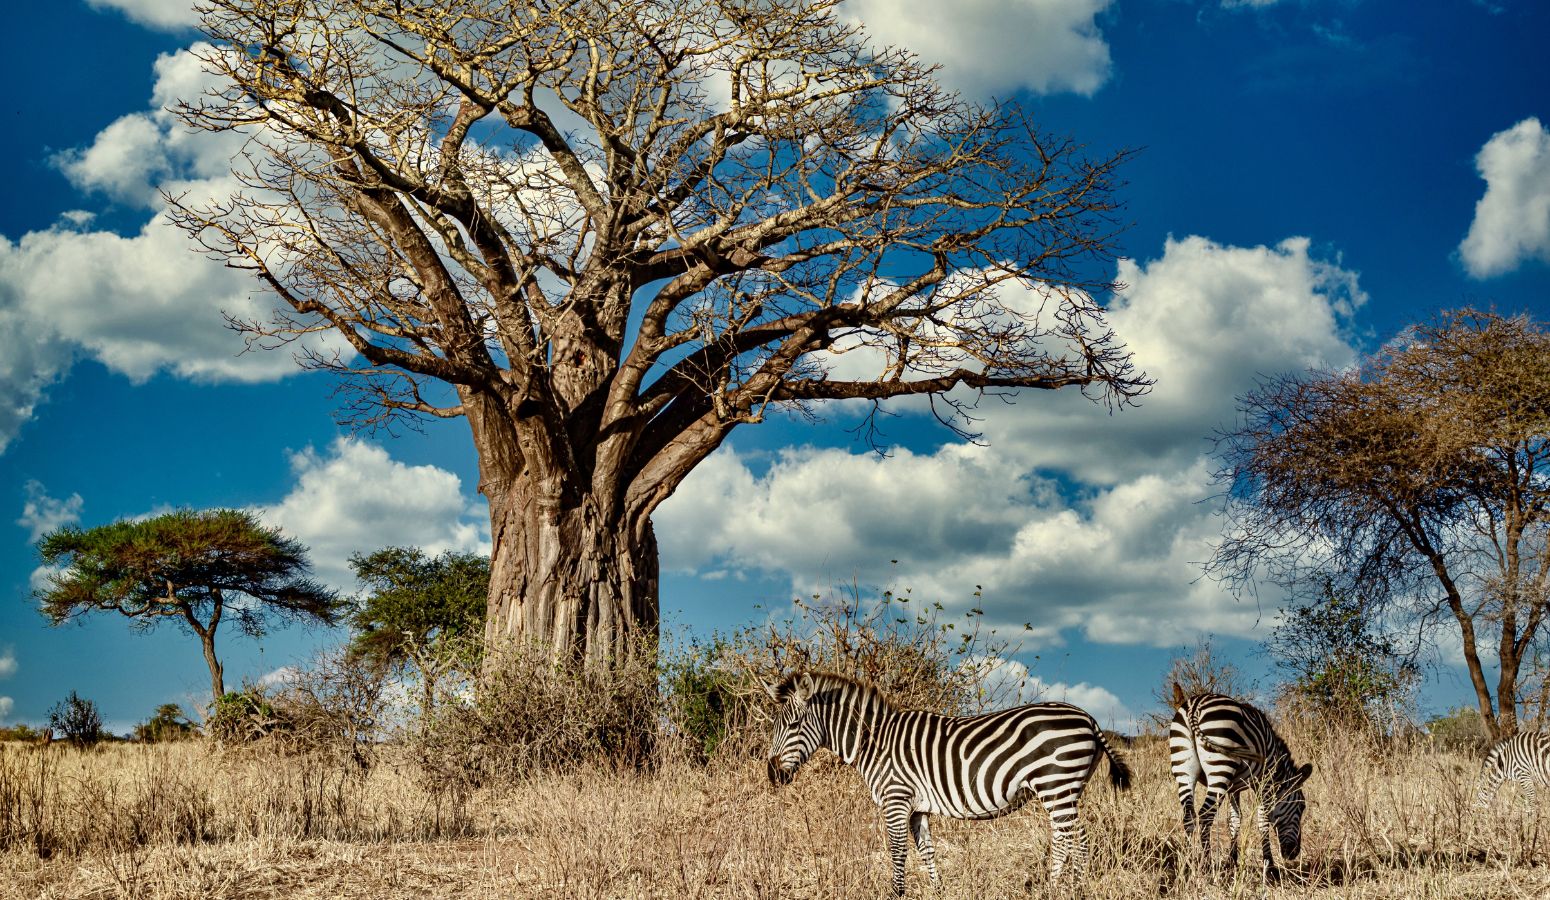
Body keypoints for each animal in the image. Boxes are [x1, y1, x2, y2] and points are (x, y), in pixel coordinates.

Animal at [768, 666, 1134, 892]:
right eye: (777, 725)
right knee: (1064, 838)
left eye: (793, 725)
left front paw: (897, 893)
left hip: (1057, 785)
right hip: (1064, 789)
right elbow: (927, 851)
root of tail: (1087, 717)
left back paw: (1070, 888)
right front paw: (937, 890)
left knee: (1077, 840)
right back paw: (1058, 886)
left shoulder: (895, 799)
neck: (875, 741)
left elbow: (897, 851)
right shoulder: (917, 808)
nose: (772, 774)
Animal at [1165, 684, 1314, 879]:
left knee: (1189, 816)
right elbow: (1262, 820)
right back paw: (1207, 865)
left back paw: (1189, 863)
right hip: (1220, 766)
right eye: (1301, 806)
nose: (1293, 853)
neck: (1276, 765)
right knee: (1205, 815)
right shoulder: (1264, 782)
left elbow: (1235, 820)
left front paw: (1231, 861)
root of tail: (1194, 706)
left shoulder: (1233, 788)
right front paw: (1270, 867)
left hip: (1184, 767)